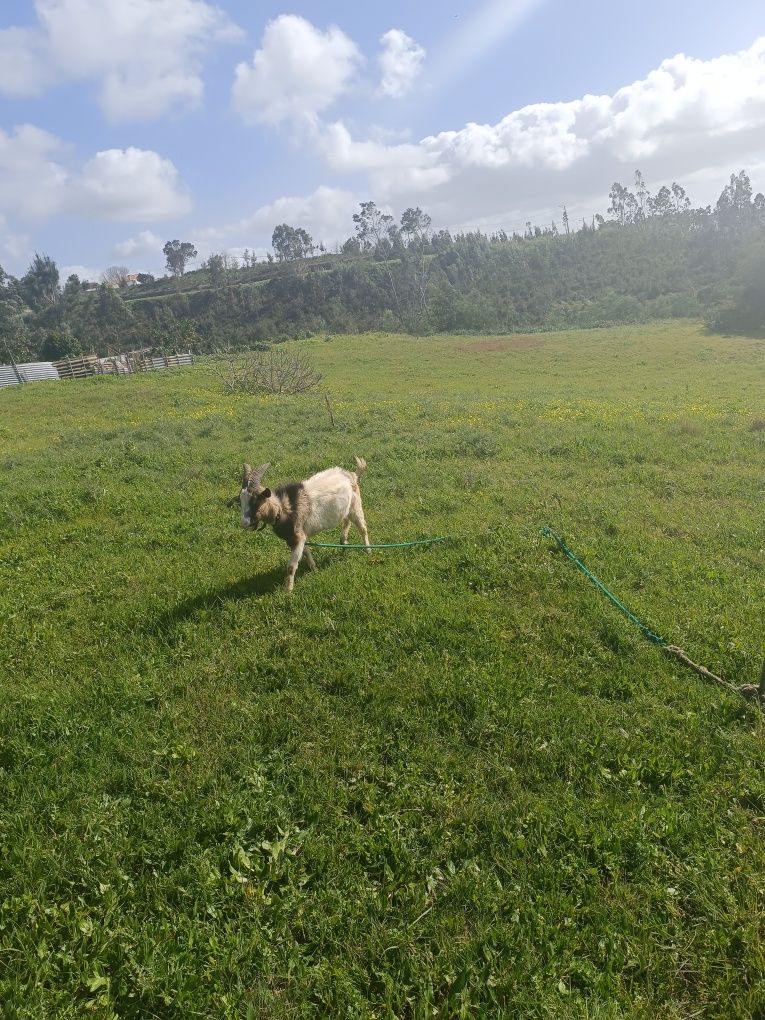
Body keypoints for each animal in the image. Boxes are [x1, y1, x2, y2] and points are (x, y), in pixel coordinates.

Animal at [238, 461, 373, 595]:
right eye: (240, 501)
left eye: (256, 500)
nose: (244, 523)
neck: (283, 508)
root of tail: (352, 475)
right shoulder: (297, 536)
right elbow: (306, 552)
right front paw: (314, 568)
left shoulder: (298, 536)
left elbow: (291, 567)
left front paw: (288, 590)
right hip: (346, 509)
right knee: (346, 520)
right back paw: (343, 541)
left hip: (355, 506)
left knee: (363, 528)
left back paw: (368, 551)